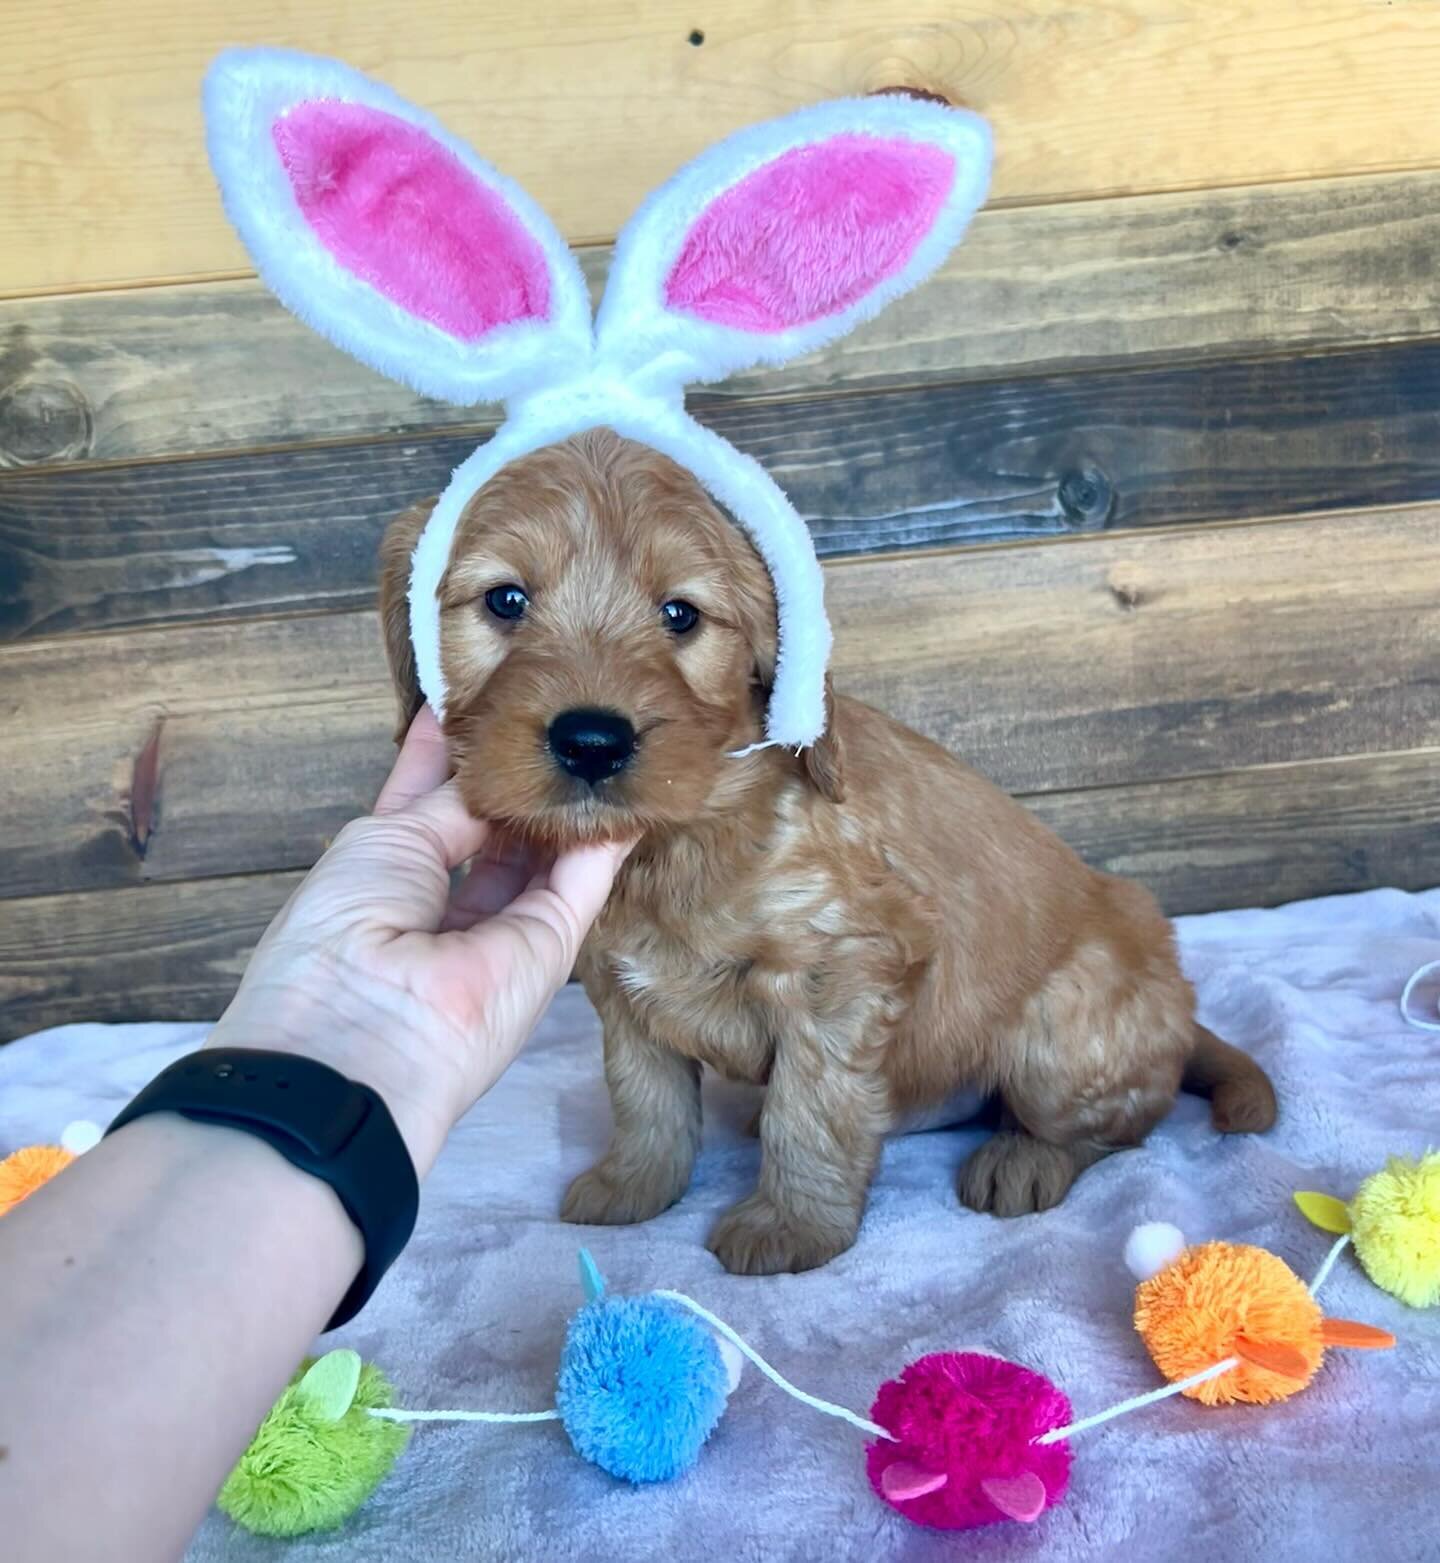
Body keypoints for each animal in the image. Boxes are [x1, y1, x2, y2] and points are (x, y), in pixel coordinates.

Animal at [376, 425, 1275, 1269]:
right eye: (506, 600)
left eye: (680, 615)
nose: (592, 741)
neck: (680, 840)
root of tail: (1178, 1002)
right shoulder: (619, 986)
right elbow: (645, 1096)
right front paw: (633, 1184)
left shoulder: (844, 967)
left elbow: (810, 1106)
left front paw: (792, 1224)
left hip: (1063, 1030)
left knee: (1123, 1123)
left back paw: (1025, 1160)